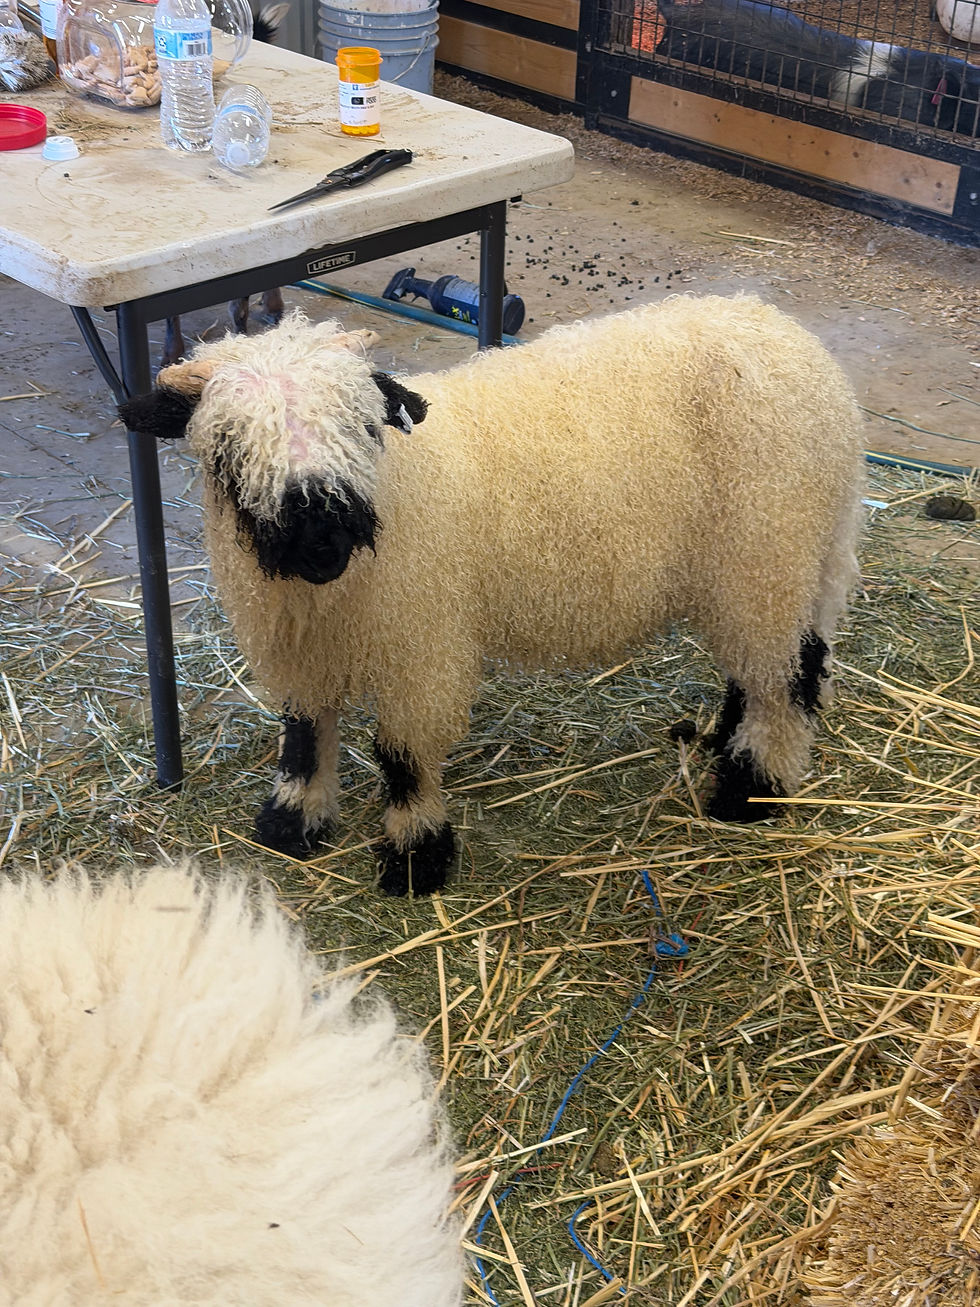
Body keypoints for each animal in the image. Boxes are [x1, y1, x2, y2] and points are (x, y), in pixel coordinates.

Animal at [119, 296, 866, 897]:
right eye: (226, 449)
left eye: (366, 427)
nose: (322, 539)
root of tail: (805, 352)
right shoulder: (302, 652)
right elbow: (303, 736)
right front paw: (291, 823)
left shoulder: (421, 645)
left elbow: (403, 754)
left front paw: (415, 857)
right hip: (772, 564)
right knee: (767, 664)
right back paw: (722, 739)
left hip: (766, 548)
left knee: (788, 675)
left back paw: (752, 789)